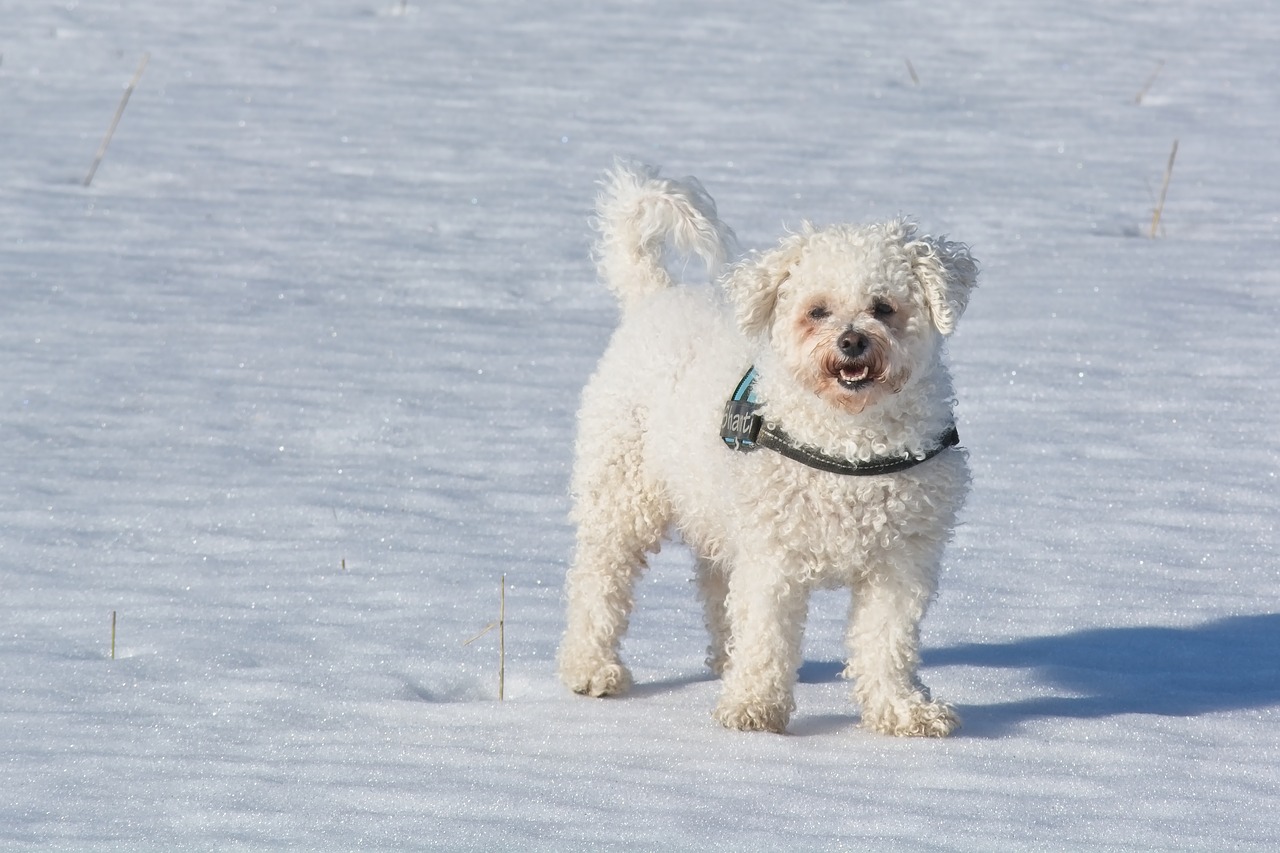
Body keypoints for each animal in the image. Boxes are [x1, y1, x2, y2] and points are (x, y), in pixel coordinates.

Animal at [560, 162, 977, 732]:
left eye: (884, 307)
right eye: (817, 310)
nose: (852, 342)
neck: (849, 442)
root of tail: (657, 295)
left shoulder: (900, 564)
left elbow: (886, 644)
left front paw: (902, 711)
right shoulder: (773, 557)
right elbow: (767, 635)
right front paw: (754, 707)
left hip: (713, 507)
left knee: (715, 585)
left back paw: (722, 660)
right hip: (622, 494)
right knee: (600, 579)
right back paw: (591, 667)